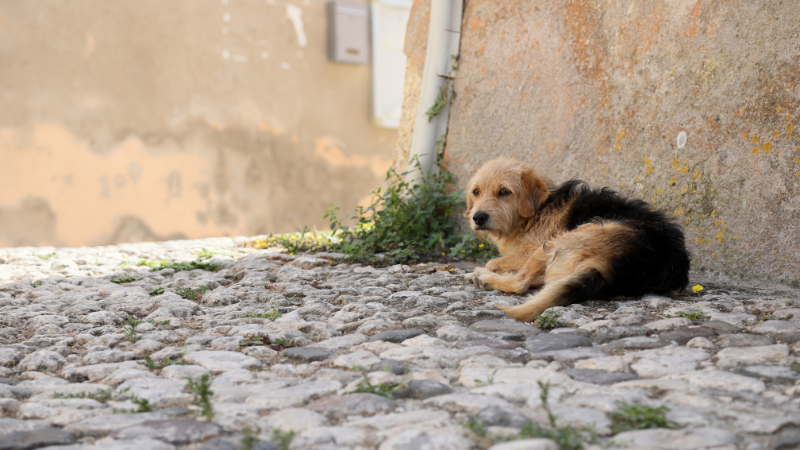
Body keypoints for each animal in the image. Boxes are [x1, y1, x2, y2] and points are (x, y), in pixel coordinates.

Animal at [466, 158, 692, 324]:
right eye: (476, 192)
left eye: (505, 191)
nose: (478, 217)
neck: (536, 212)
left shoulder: (533, 247)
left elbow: (494, 262)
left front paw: (488, 270)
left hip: (560, 240)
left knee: (521, 283)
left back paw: (486, 278)